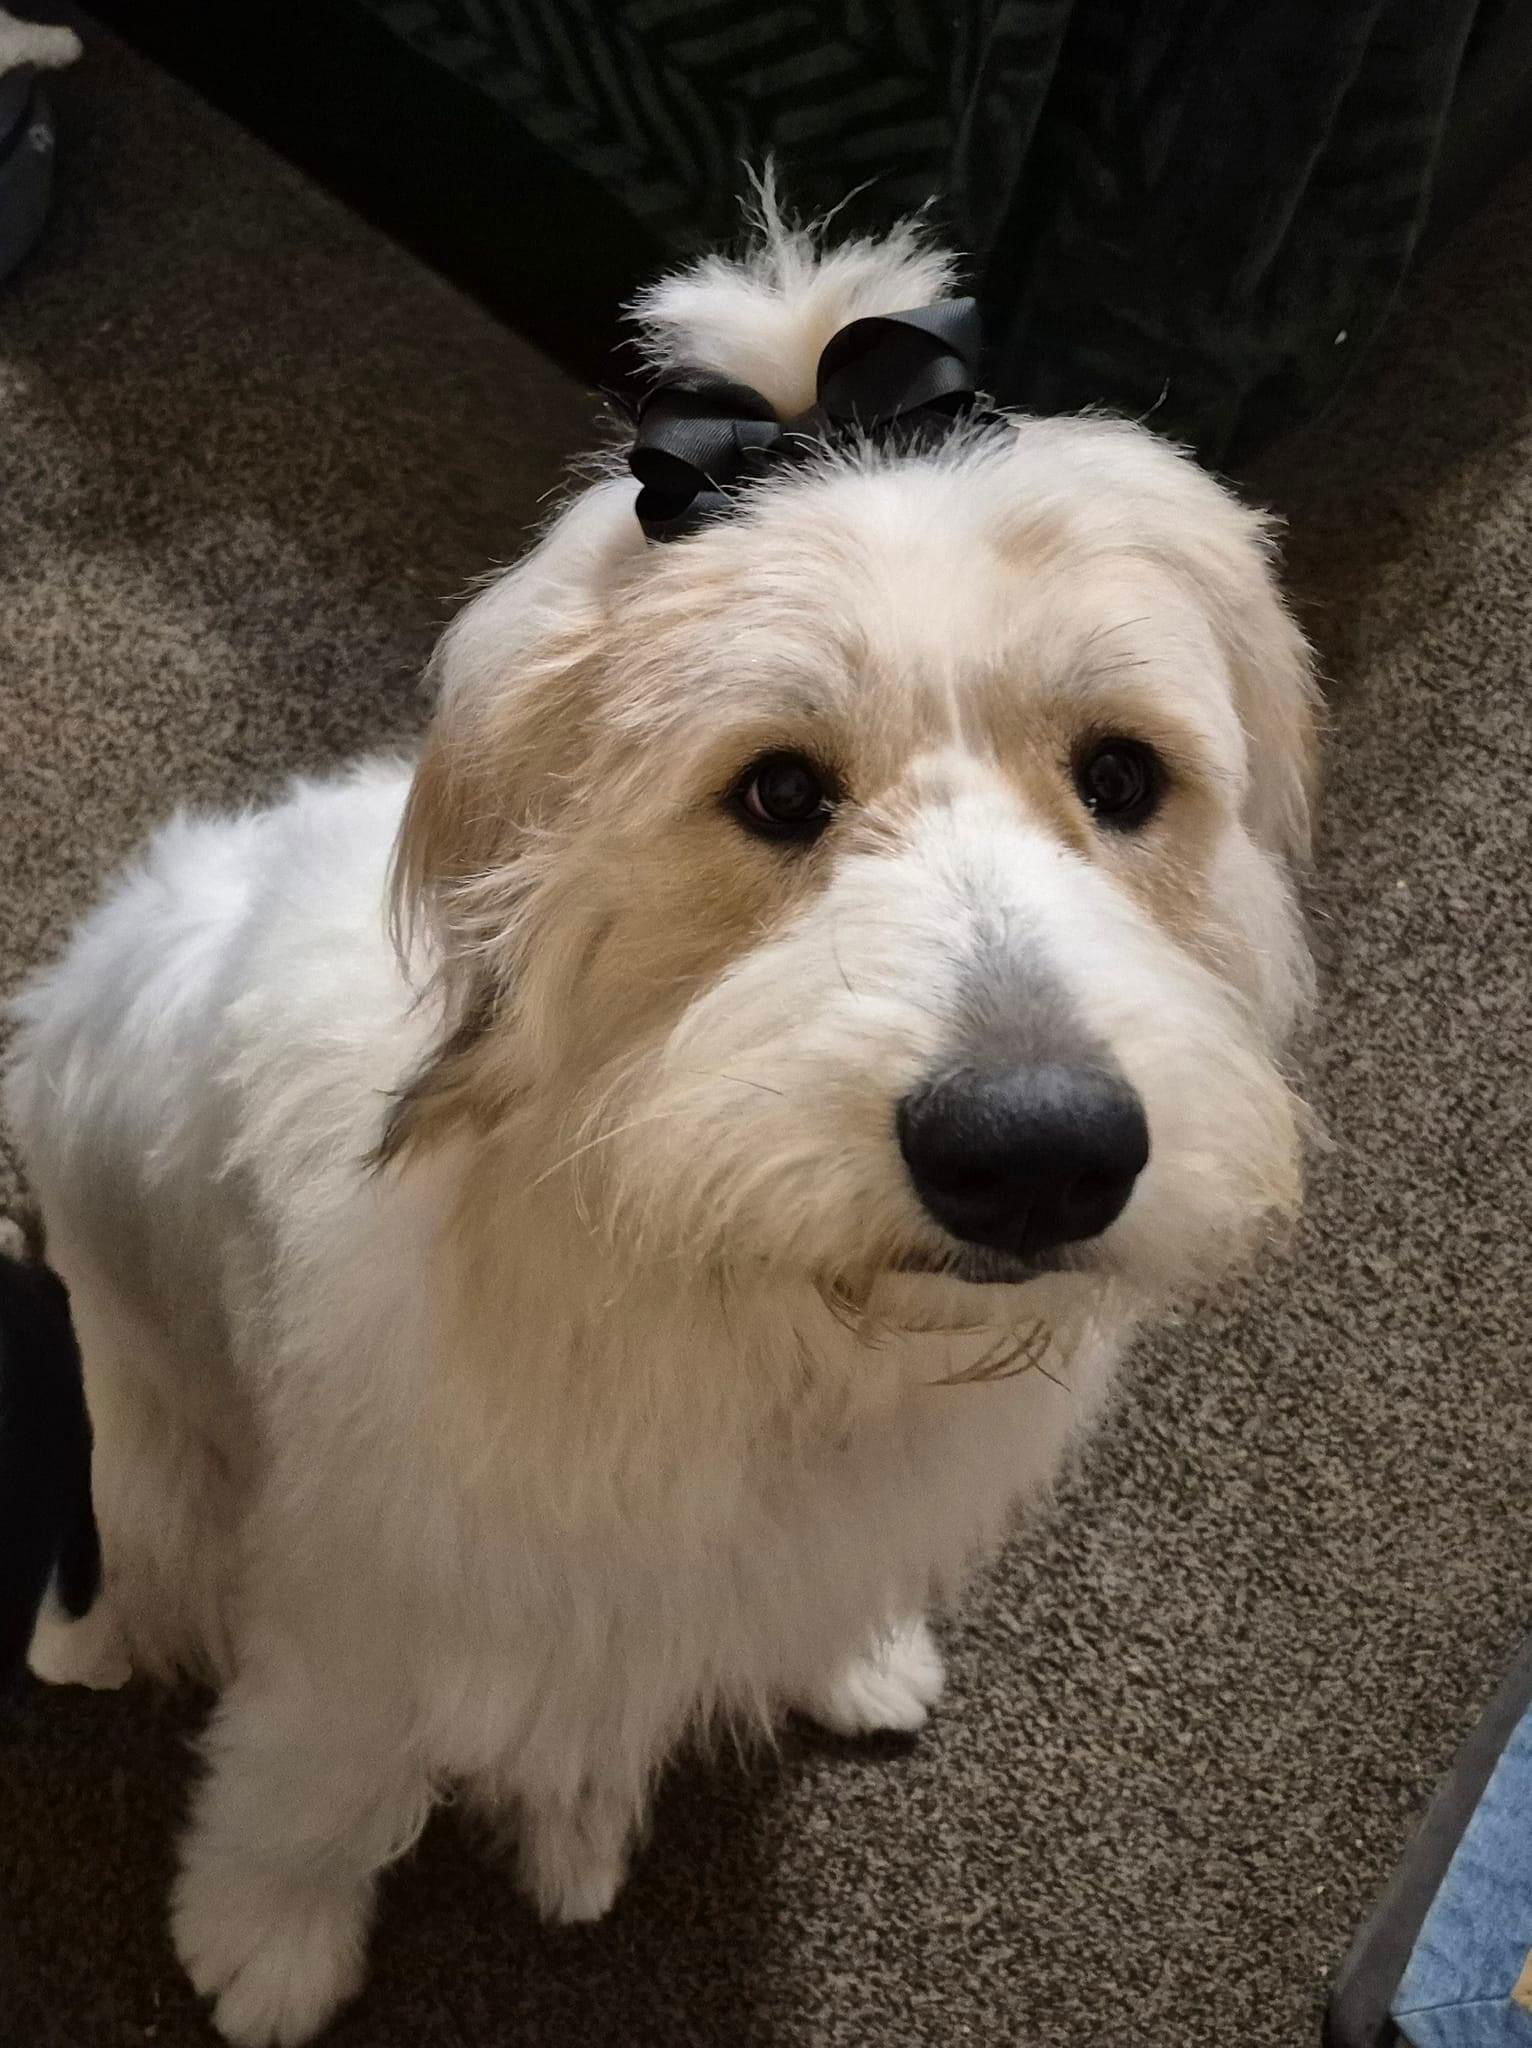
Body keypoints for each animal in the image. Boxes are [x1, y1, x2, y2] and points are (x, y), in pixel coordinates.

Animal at [2, 211, 1318, 2048]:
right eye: (777, 790)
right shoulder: (369, 1597)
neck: (718, 1257)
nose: (1037, 1154)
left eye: (1122, 775)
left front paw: (818, 1667)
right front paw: (269, 1937)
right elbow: (314, 1779)